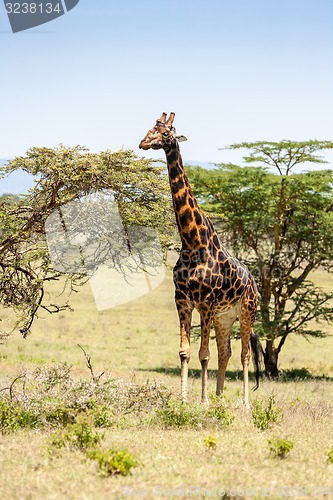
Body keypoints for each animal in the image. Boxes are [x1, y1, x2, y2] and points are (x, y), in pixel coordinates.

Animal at [139, 112, 260, 406]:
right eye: (150, 127)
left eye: (167, 132)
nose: (143, 143)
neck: (193, 242)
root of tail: (253, 283)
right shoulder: (182, 300)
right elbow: (185, 352)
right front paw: (185, 400)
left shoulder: (205, 303)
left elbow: (203, 354)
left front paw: (202, 402)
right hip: (224, 317)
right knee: (226, 352)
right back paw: (219, 397)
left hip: (247, 312)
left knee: (244, 355)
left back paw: (244, 403)